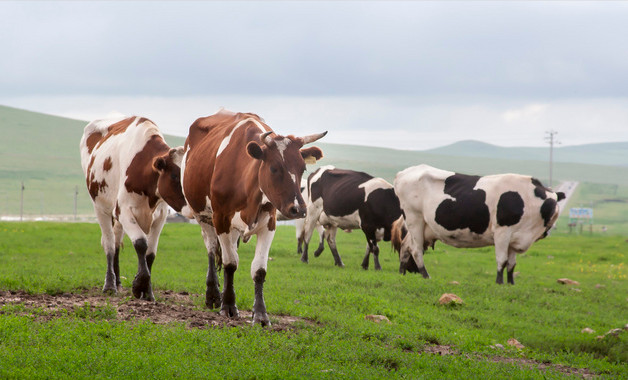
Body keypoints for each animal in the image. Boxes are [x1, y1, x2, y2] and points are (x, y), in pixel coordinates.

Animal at [79, 116, 191, 300]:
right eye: (175, 175)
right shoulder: (124, 211)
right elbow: (140, 244)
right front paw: (140, 285)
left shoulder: (160, 217)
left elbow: (150, 254)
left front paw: (148, 291)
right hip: (101, 208)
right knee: (109, 244)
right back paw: (110, 285)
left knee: (117, 242)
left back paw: (118, 281)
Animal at [178, 108, 322, 326]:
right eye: (274, 168)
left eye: (302, 168)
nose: (298, 209)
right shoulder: (221, 220)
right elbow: (230, 263)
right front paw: (228, 306)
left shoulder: (269, 223)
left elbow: (259, 270)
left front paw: (260, 314)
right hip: (201, 215)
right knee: (211, 249)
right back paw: (213, 295)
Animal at [392, 165, 564, 284]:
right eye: (550, 204)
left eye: (556, 203)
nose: (555, 214)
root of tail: (404, 173)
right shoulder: (502, 232)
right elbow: (502, 260)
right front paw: (499, 283)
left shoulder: (515, 239)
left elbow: (512, 264)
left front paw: (511, 283)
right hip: (414, 219)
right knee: (416, 250)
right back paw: (426, 275)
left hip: (423, 227)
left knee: (406, 246)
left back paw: (401, 272)